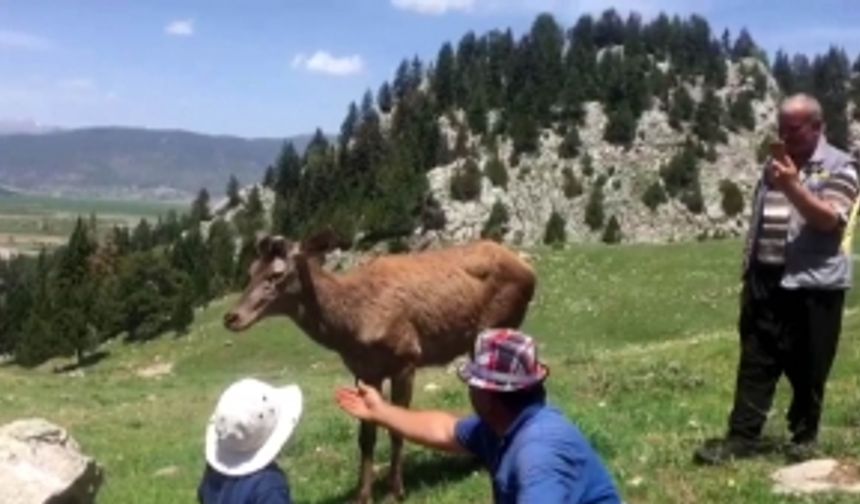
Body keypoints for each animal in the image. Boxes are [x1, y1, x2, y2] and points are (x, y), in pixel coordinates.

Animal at [222, 232, 536, 504]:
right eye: (250, 270)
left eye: (276, 274)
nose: (231, 317)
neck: (351, 326)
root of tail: (529, 270)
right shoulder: (364, 370)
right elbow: (366, 437)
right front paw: (363, 494)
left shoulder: (406, 357)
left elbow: (397, 426)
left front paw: (397, 491)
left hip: (500, 322)